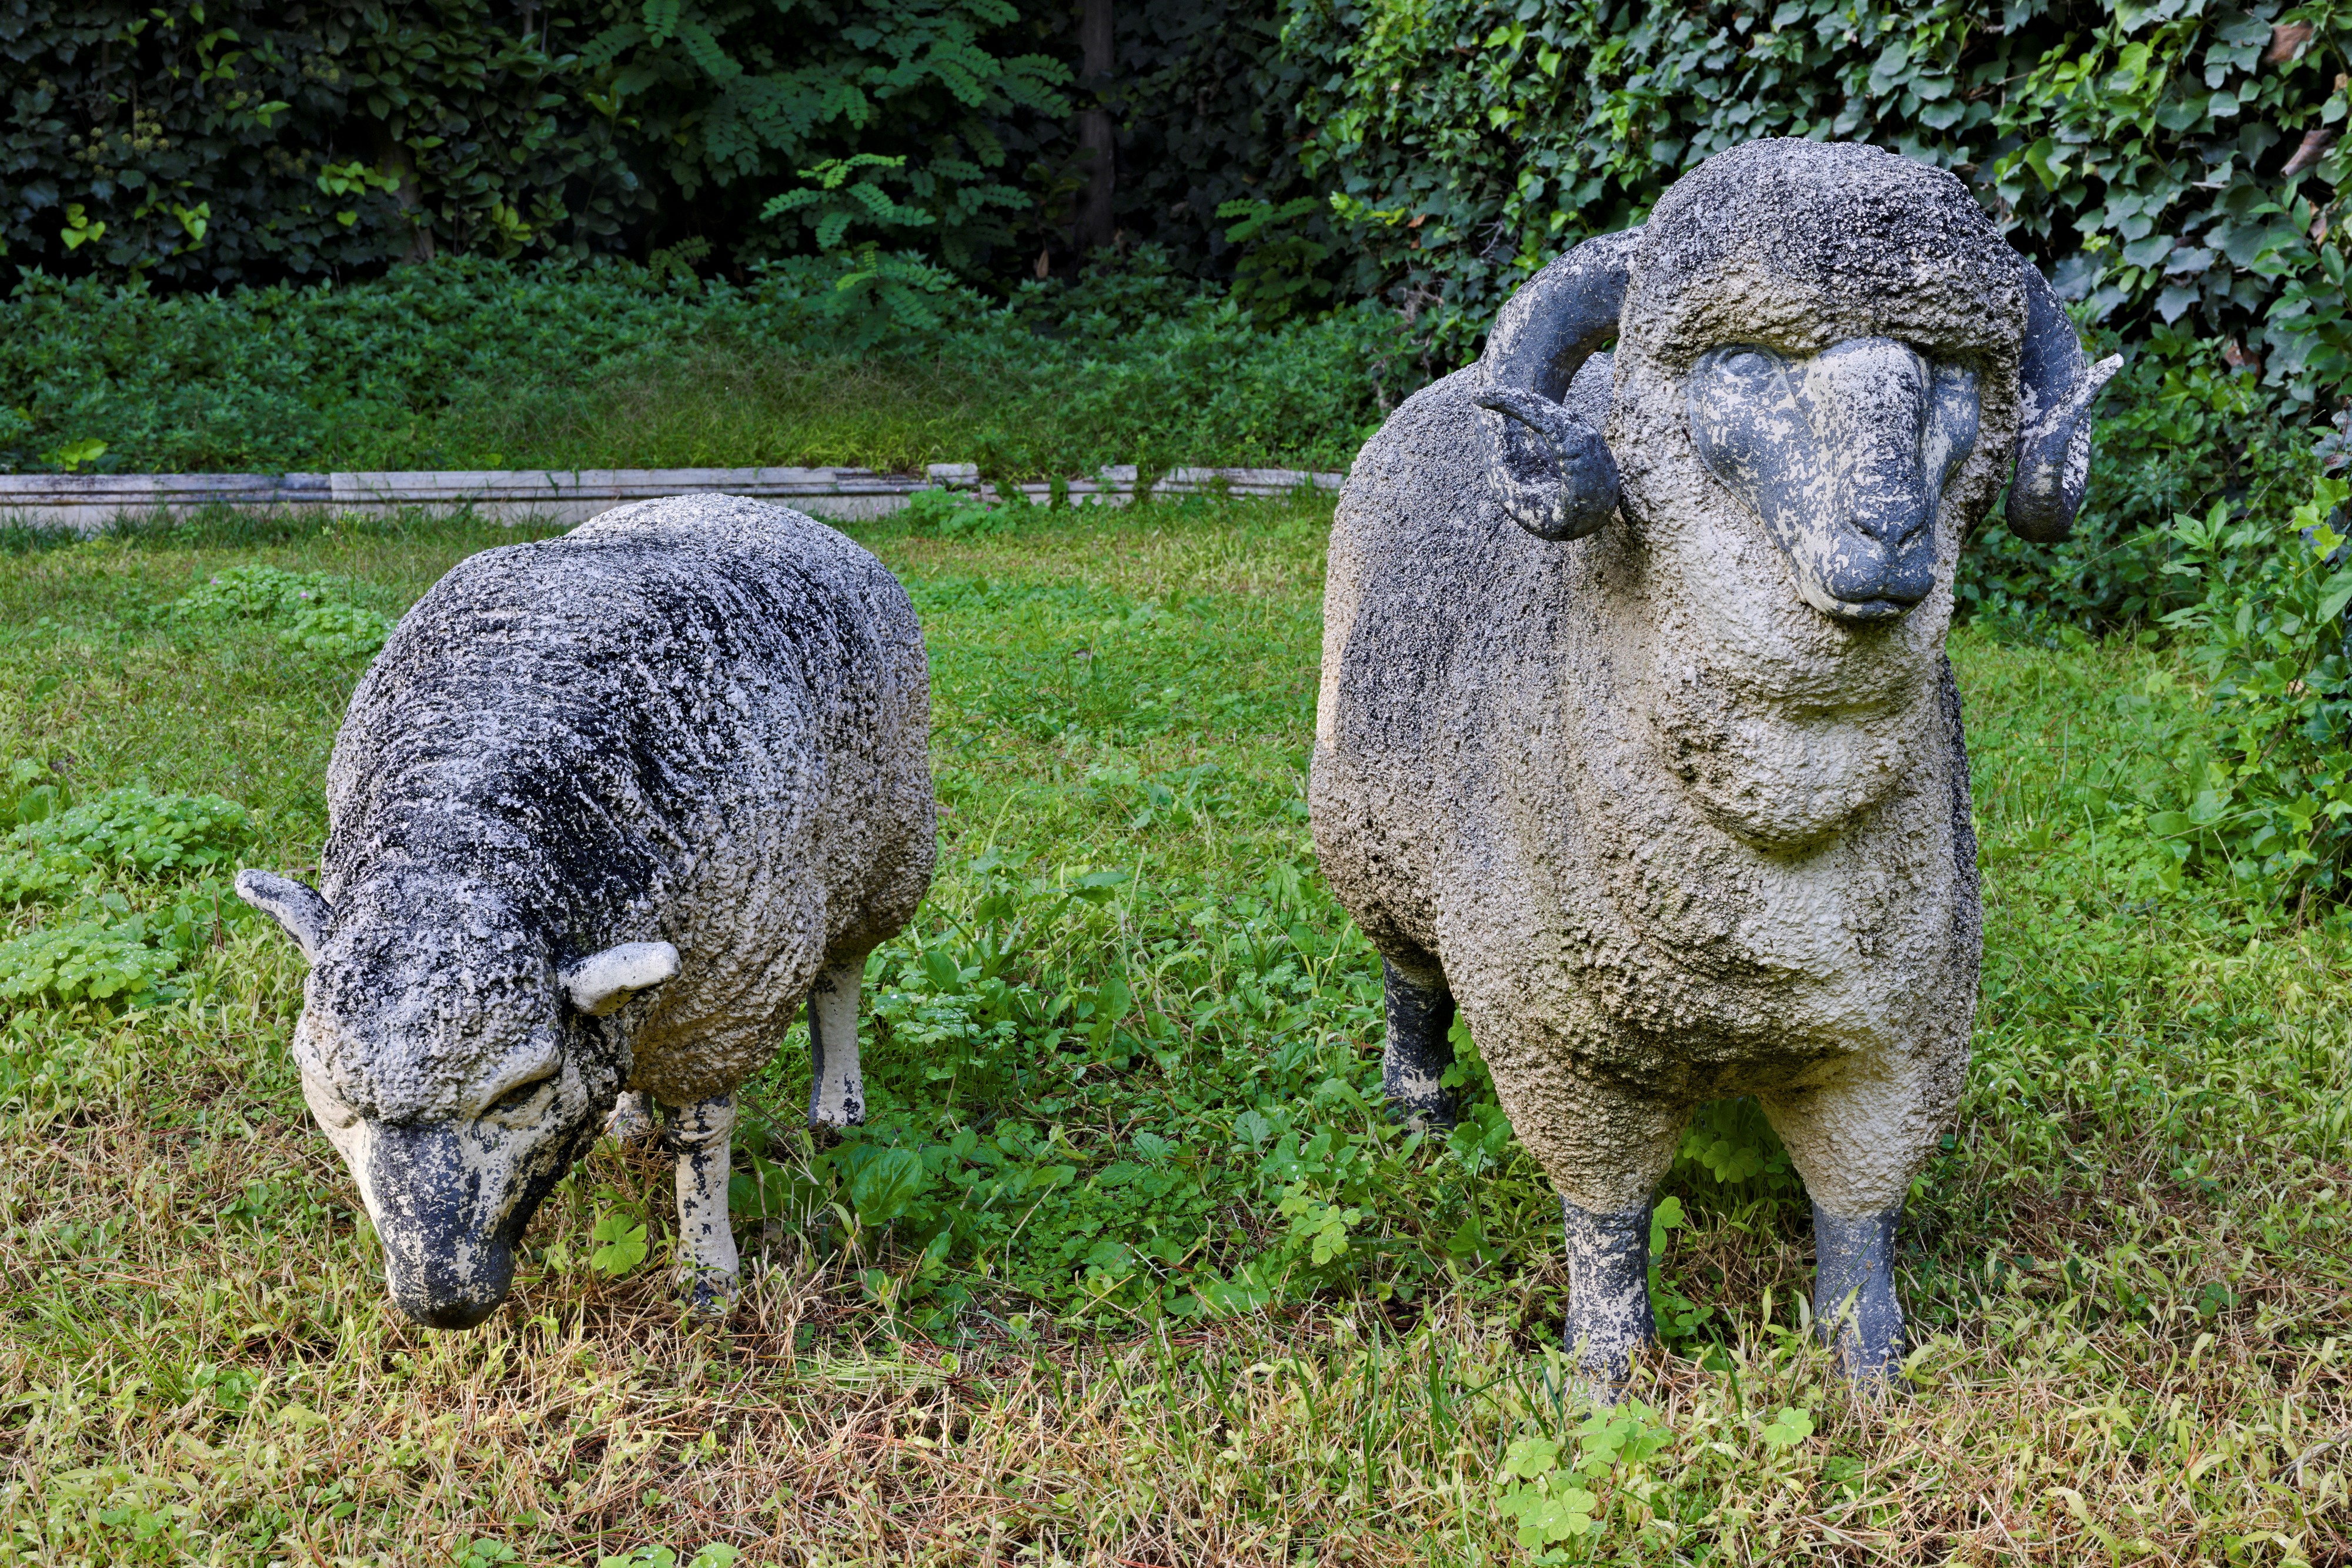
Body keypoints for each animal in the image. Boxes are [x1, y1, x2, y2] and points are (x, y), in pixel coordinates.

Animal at [237, 494, 935, 1328]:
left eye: (522, 1091)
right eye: (329, 1093)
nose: (441, 1302)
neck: (465, 839)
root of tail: (748, 503)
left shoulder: (728, 997)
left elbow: (703, 1132)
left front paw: (708, 1278)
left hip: (885, 837)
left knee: (843, 967)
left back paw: (837, 1109)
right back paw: (631, 1121)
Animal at [1310, 139, 2116, 1382]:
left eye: (1946, 369)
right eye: (1748, 360)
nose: (1890, 532)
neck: (1782, 794)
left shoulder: (1906, 1039)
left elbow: (1860, 1215)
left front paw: (1870, 1366)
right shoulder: (1564, 1047)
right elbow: (1604, 1221)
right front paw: (1606, 1375)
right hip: (1369, 839)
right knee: (1410, 978)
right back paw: (1420, 1108)